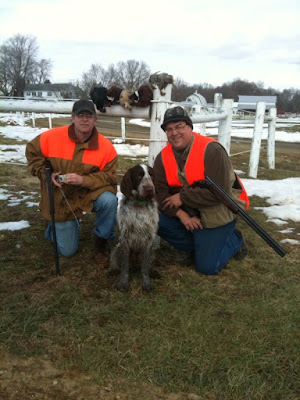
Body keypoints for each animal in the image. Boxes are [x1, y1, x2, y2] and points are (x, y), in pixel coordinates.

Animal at [108, 164, 159, 292]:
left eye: (151, 176)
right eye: (139, 176)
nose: (150, 189)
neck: (140, 204)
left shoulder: (148, 240)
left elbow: (145, 267)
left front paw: (146, 283)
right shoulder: (125, 239)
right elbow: (124, 267)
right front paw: (123, 283)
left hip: (151, 252)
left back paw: (153, 271)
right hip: (118, 249)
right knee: (115, 261)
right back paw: (113, 270)